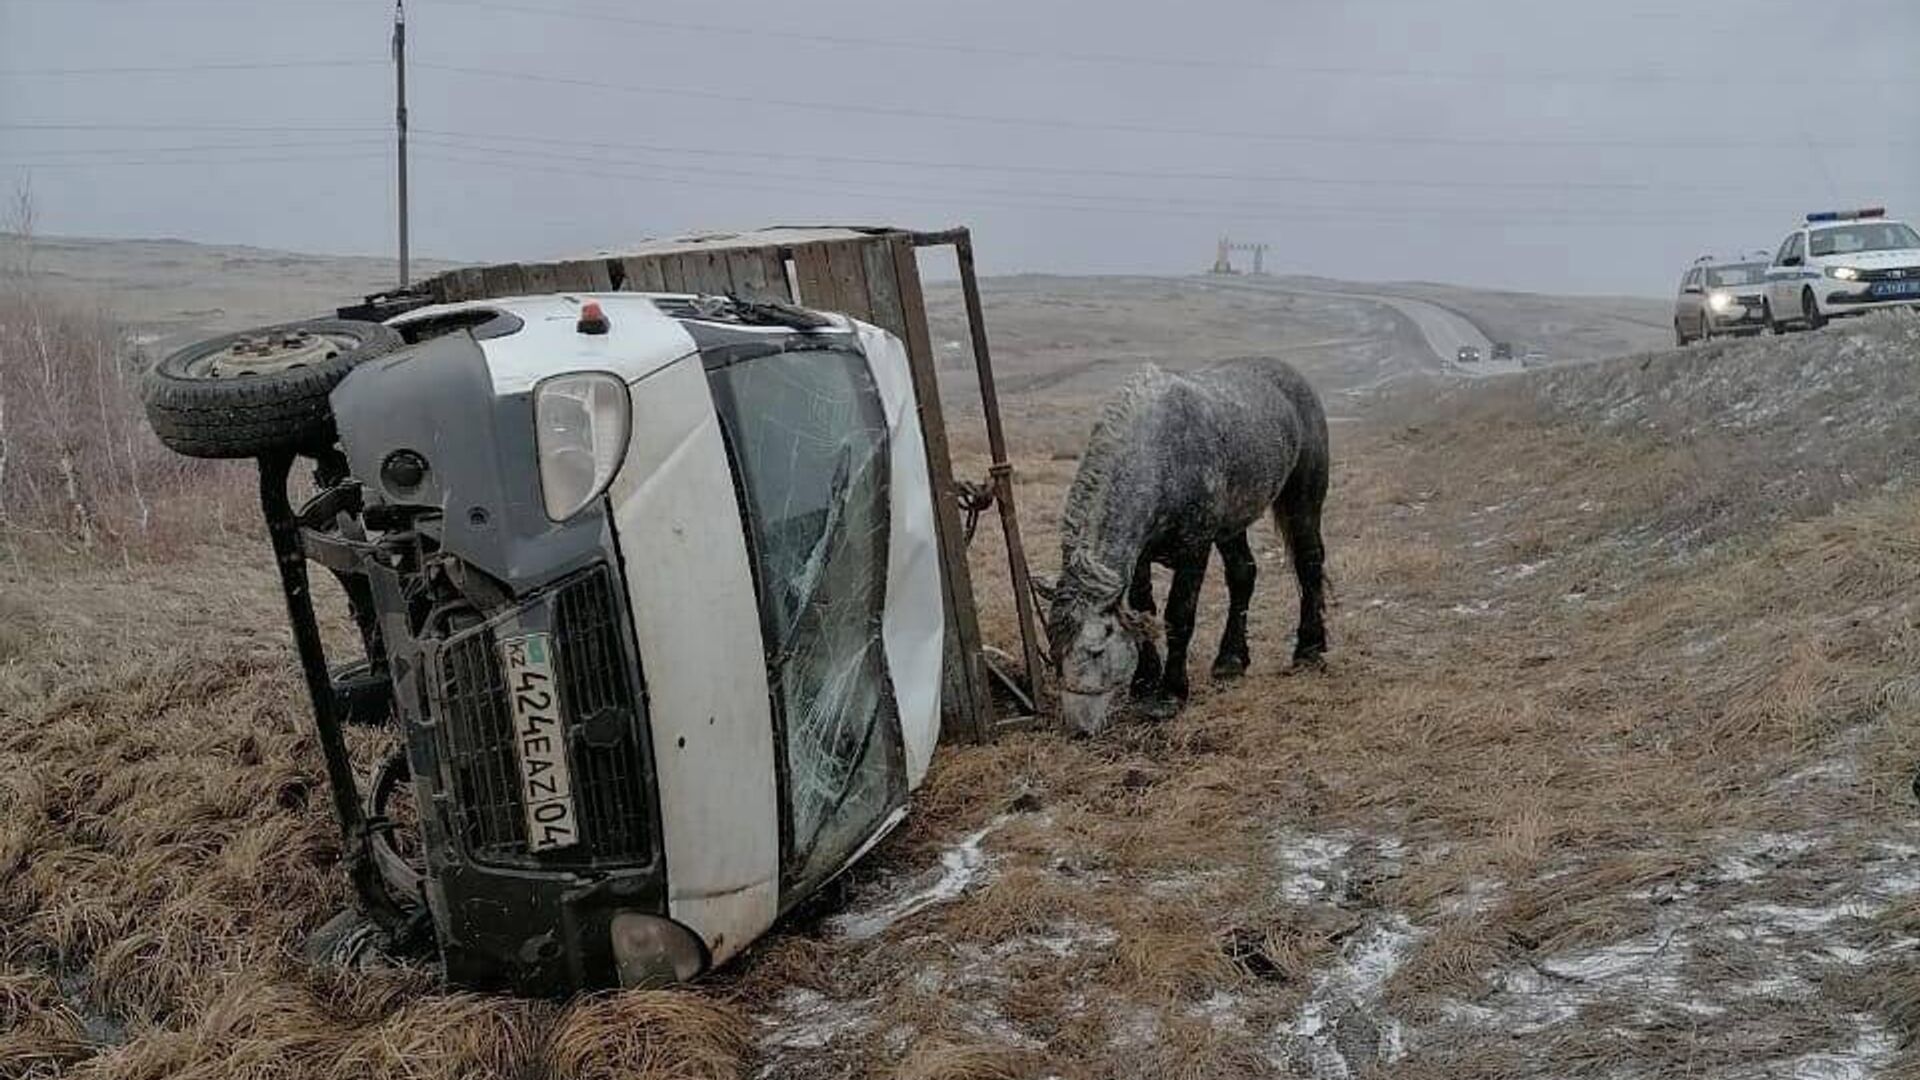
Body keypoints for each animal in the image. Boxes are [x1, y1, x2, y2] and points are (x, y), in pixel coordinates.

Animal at [1044, 357, 1328, 734]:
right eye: (1053, 649)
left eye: (1095, 650)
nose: (1078, 727)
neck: (1161, 453)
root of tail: (1292, 377)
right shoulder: (1141, 558)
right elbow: (1144, 610)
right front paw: (1144, 683)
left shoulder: (1195, 550)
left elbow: (1179, 615)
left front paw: (1170, 694)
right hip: (1232, 527)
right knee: (1243, 575)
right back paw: (1230, 661)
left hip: (1303, 503)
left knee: (1309, 564)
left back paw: (1310, 650)